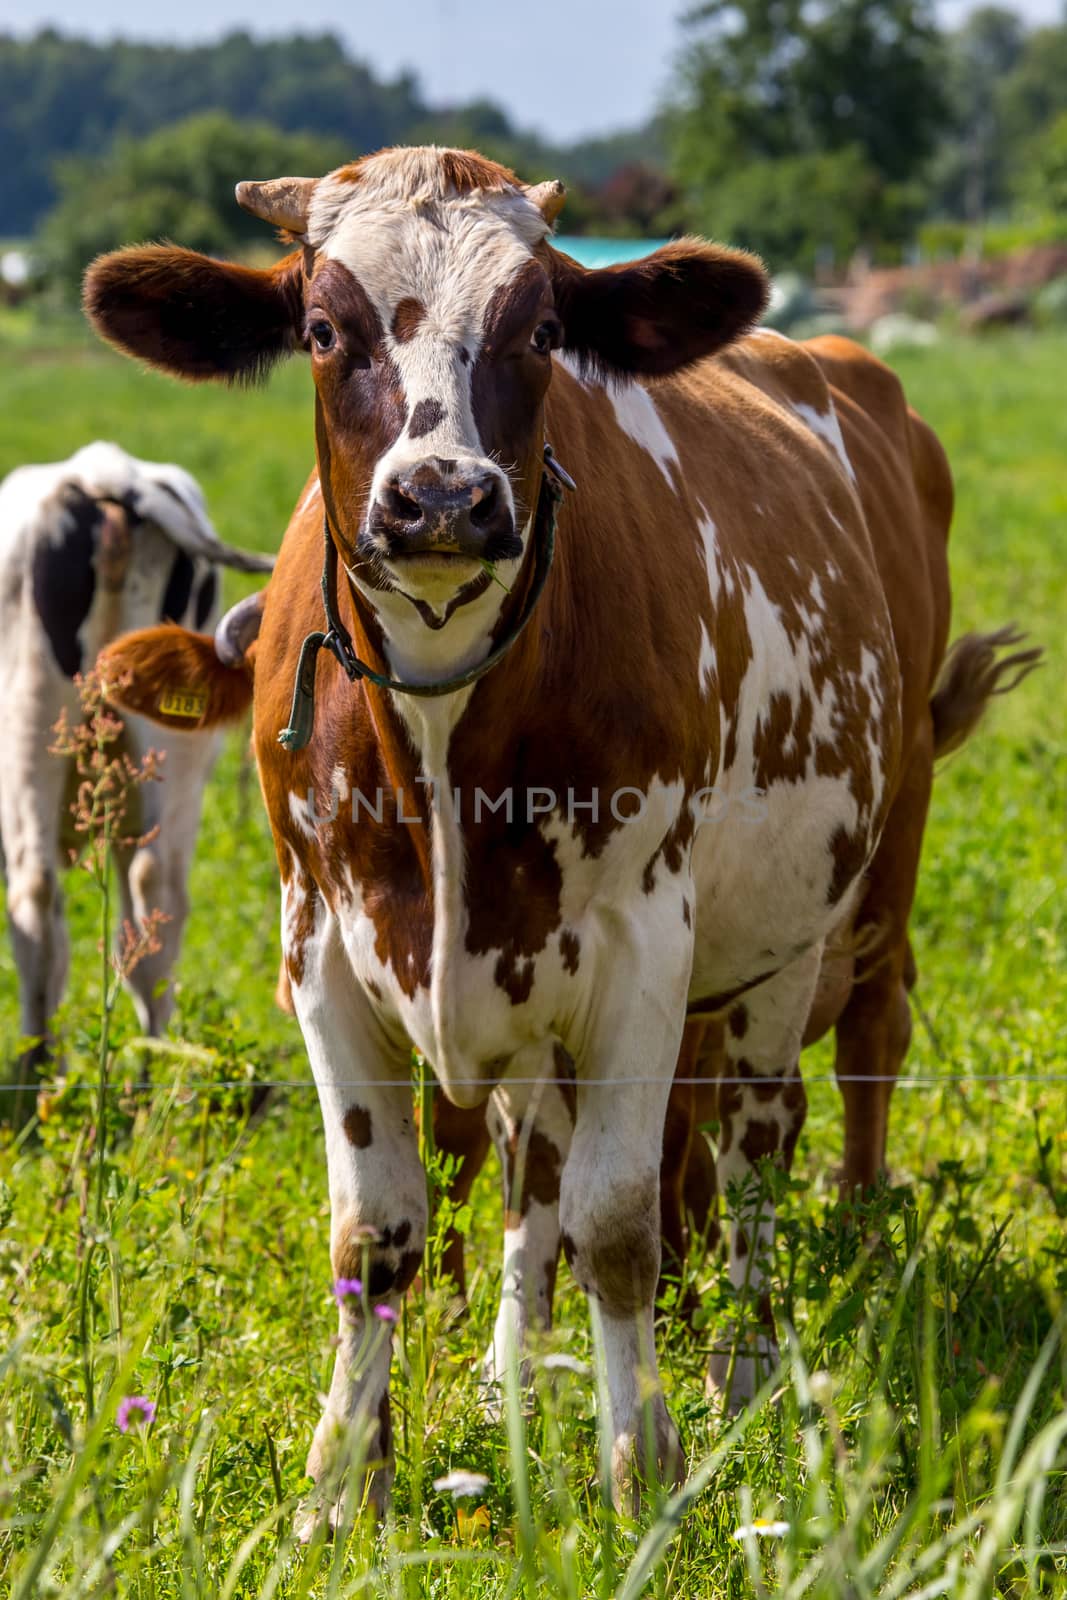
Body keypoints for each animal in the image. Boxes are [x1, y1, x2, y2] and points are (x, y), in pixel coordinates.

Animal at [87, 144, 1036, 1516]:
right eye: (322, 329)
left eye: (538, 329)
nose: (439, 497)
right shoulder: (320, 947)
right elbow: (379, 1230)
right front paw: (344, 1484)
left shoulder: (645, 944)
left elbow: (619, 1224)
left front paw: (640, 1469)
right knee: (531, 1165)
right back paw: (513, 1377)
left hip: (818, 914)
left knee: (769, 1134)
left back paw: (742, 1373)